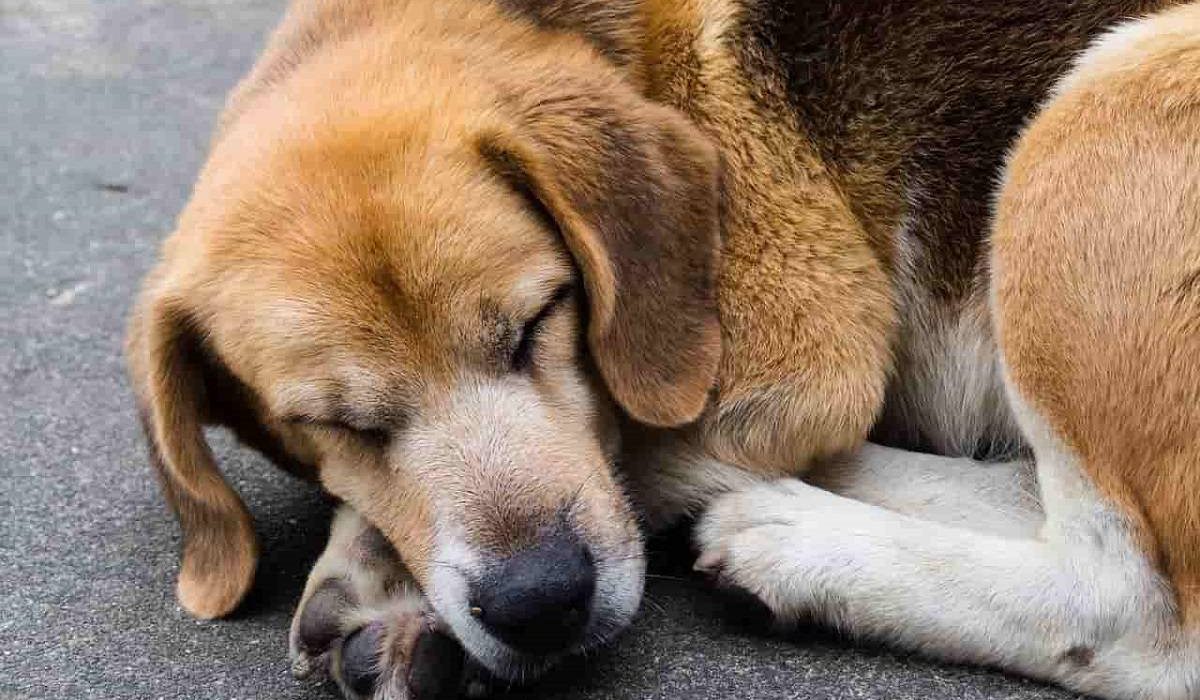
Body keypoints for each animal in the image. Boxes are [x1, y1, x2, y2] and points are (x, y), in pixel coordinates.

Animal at [126, 1, 1200, 700]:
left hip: (1106, 96)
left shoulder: (804, 371)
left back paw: (795, 546)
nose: (539, 603)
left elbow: (624, 437)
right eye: (332, 423)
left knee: (1132, 608)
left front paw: (382, 571)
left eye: (539, 322)